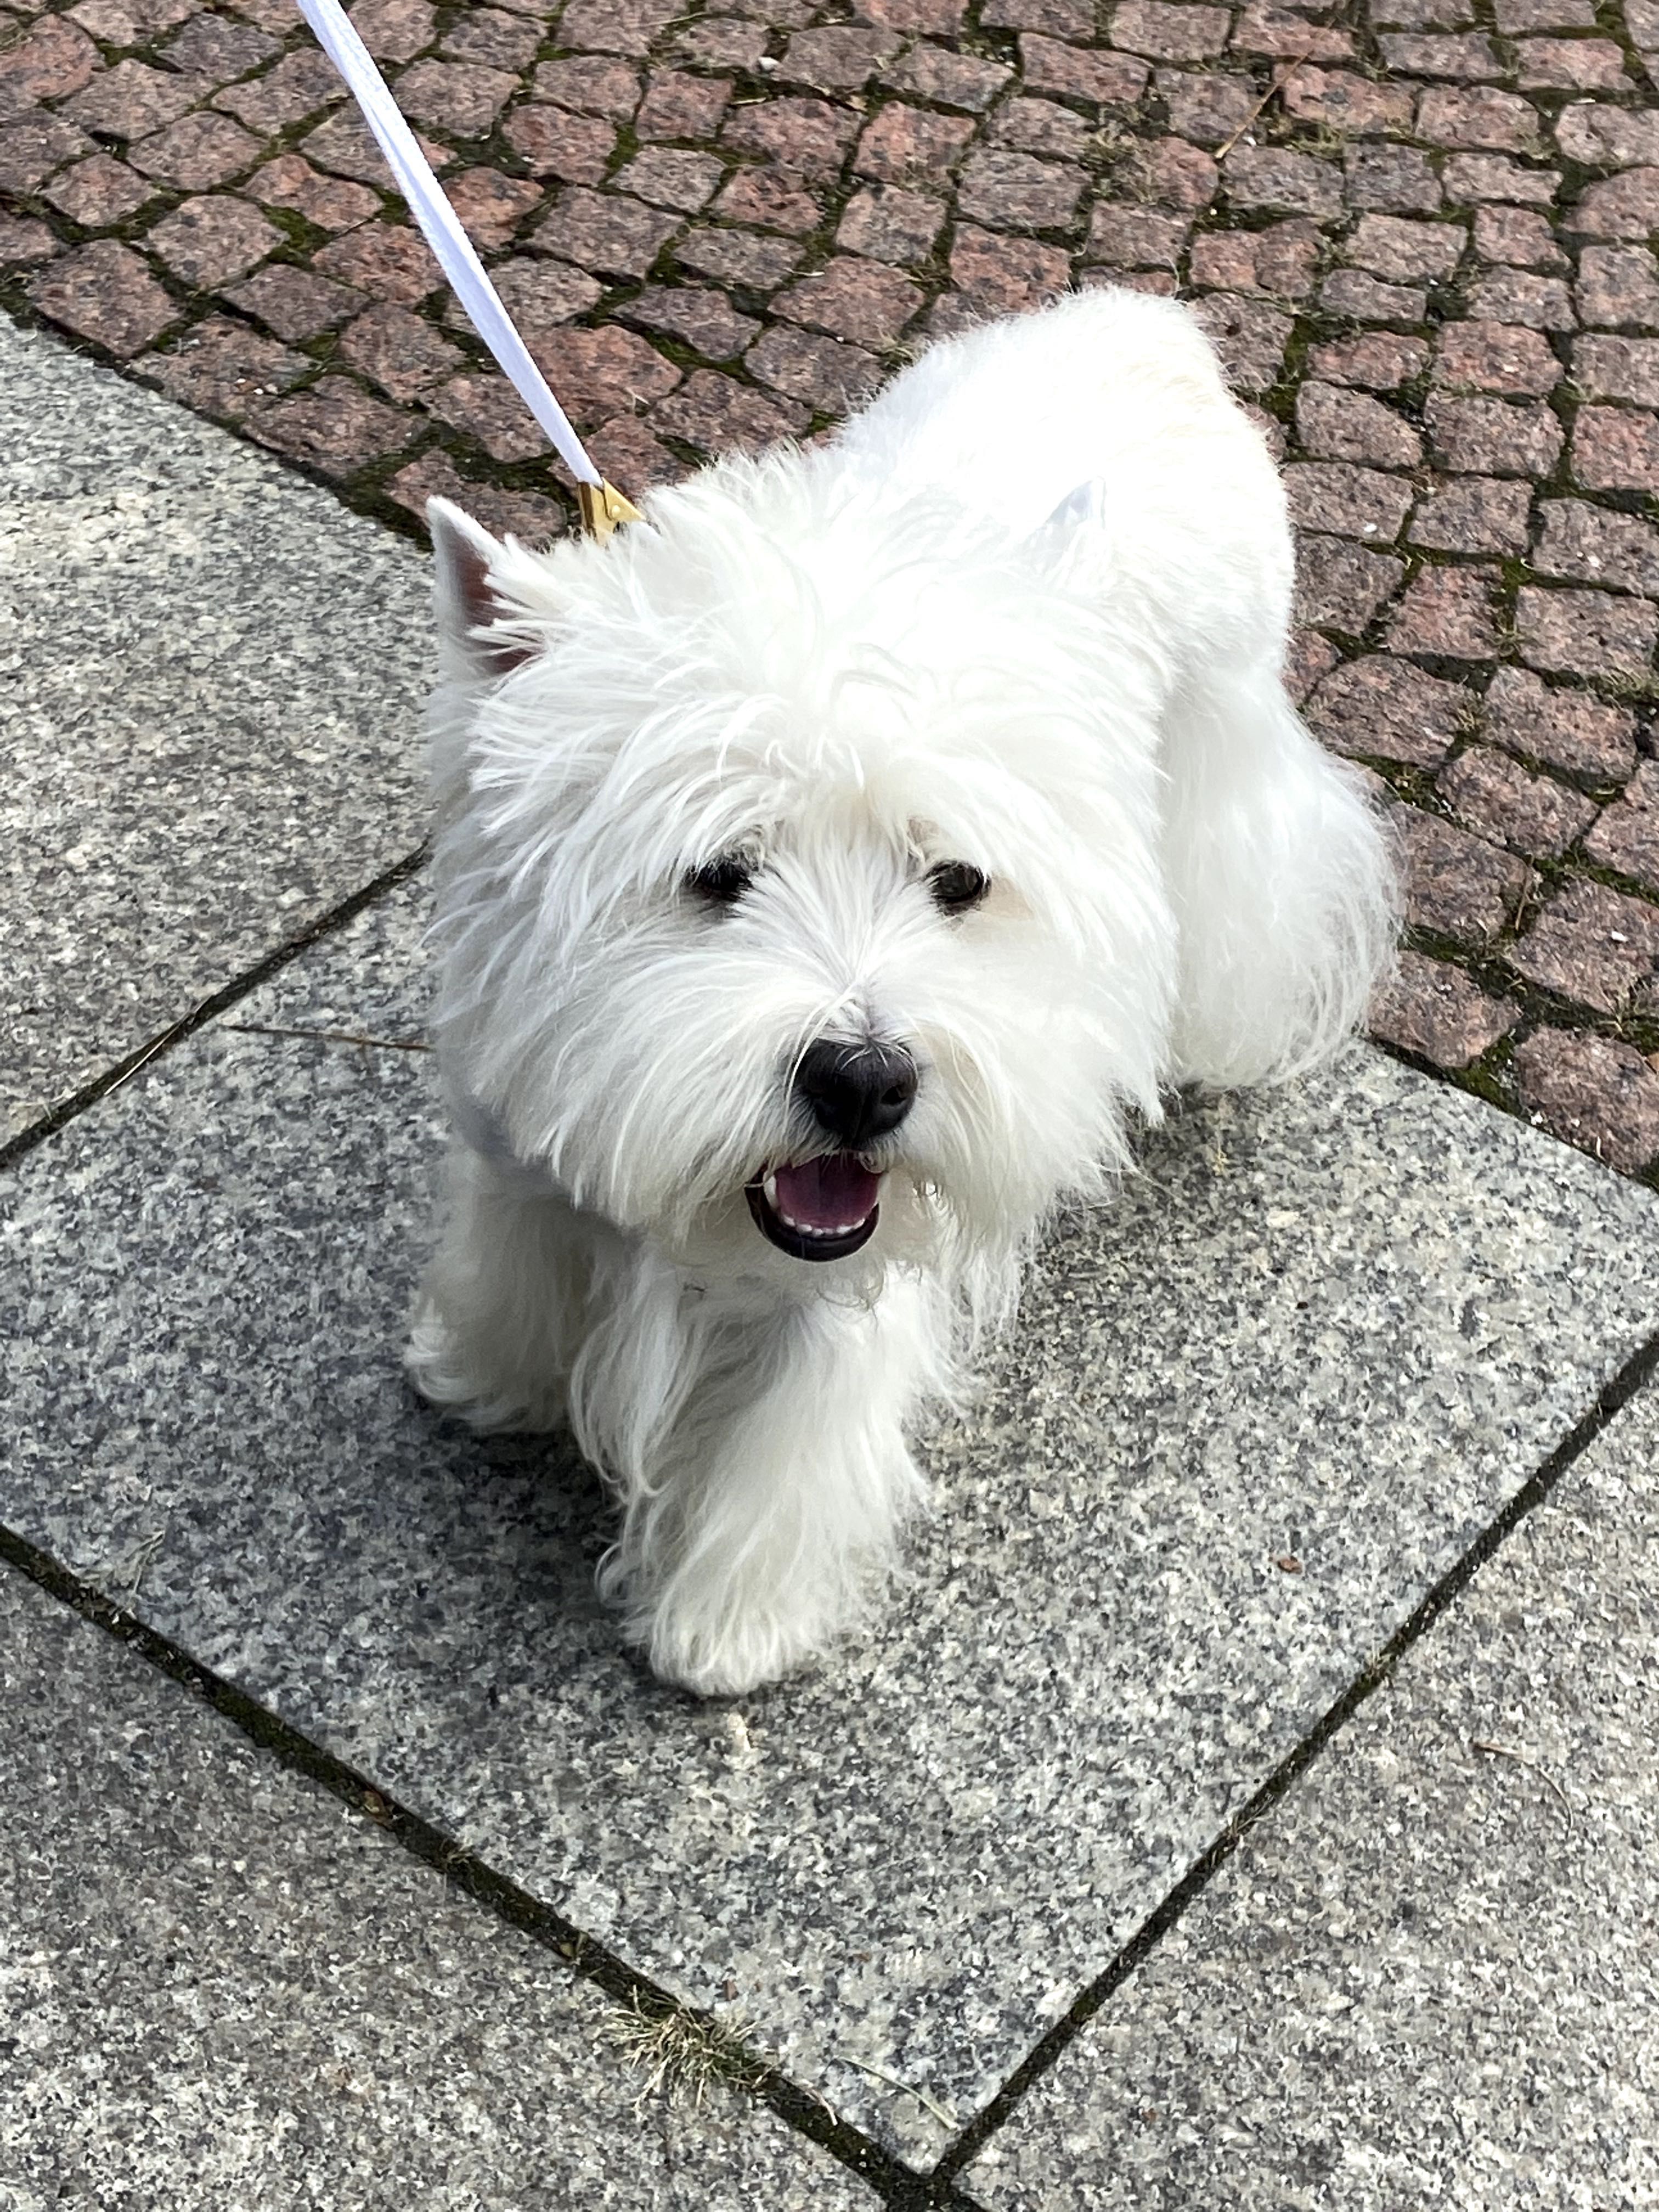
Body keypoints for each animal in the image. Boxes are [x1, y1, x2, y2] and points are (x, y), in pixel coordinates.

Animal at [407, 281, 1407, 1690]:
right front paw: (487, 1375)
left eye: (958, 881)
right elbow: (520, 1260)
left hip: (1222, 751)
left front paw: (728, 1626)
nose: (866, 1083)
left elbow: (792, 1438)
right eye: (716, 875)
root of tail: (1151, 324)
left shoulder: (845, 1283)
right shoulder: (520, 1147)